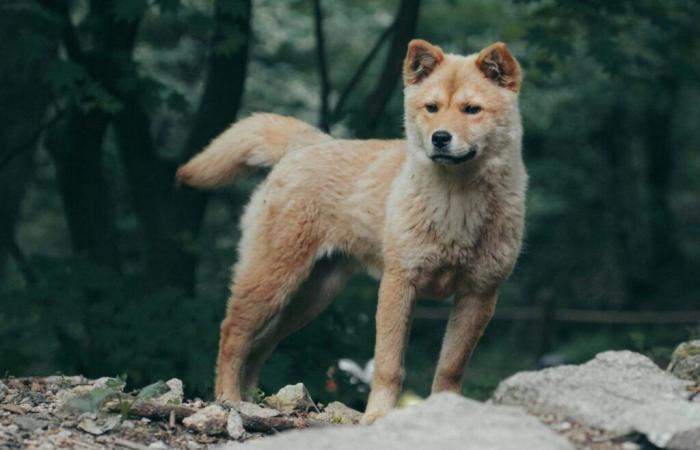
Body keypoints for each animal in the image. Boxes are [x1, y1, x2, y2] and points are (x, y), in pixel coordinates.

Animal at [178, 39, 528, 426]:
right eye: (432, 108)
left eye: (471, 110)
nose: (440, 138)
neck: (456, 205)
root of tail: (309, 144)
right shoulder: (399, 284)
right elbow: (389, 365)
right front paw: (378, 415)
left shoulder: (478, 295)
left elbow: (450, 368)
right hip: (272, 280)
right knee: (233, 334)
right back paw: (229, 400)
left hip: (309, 298)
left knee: (261, 345)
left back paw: (255, 401)